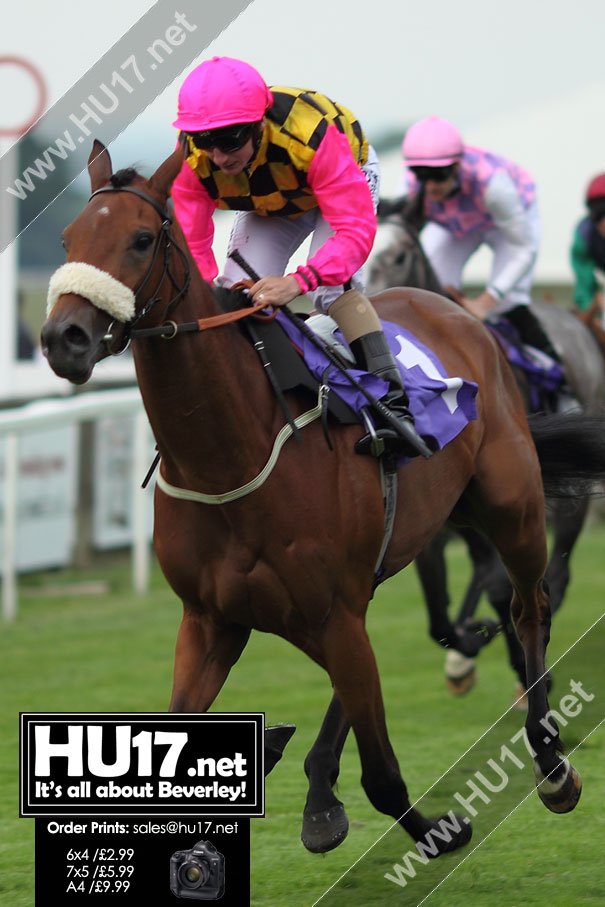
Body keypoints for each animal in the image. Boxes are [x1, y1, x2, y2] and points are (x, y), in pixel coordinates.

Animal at [42, 142, 600, 860]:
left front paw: (439, 830)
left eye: (141, 240)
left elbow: (384, 775)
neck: (229, 454)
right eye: (67, 239)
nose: (64, 337)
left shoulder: (332, 611)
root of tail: (457, 314)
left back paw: (550, 760)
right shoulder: (212, 620)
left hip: (514, 508)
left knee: (530, 604)